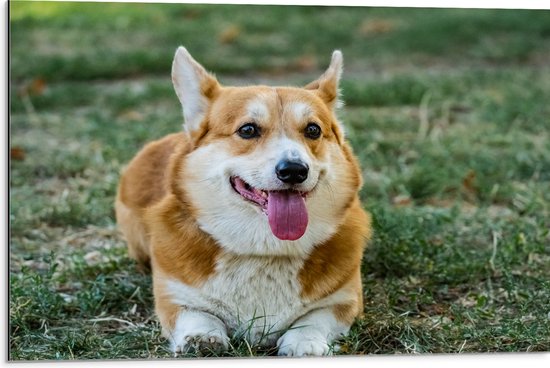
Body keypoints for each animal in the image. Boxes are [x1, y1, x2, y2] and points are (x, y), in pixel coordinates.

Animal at [114, 46, 374, 356]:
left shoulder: (345, 300)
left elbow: (315, 319)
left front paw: (305, 343)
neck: (263, 251)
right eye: (248, 130)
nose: (294, 170)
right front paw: (203, 337)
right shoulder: (173, 296)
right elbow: (196, 314)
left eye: (313, 130)